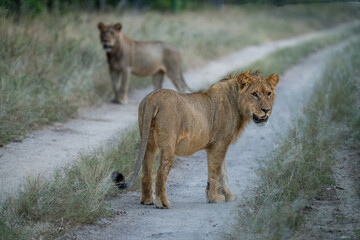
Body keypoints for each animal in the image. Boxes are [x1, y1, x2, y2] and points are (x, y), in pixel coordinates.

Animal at [111, 70, 280, 208]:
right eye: (254, 94)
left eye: (269, 93)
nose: (266, 110)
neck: (237, 102)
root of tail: (153, 98)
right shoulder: (218, 144)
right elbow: (215, 172)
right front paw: (215, 198)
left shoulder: (221, 144)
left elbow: (223, 172)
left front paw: (229, 196)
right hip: (168, 144)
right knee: (160, 172)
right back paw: (162, 203)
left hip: (148, 142)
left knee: (146, 171)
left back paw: (147, 201)